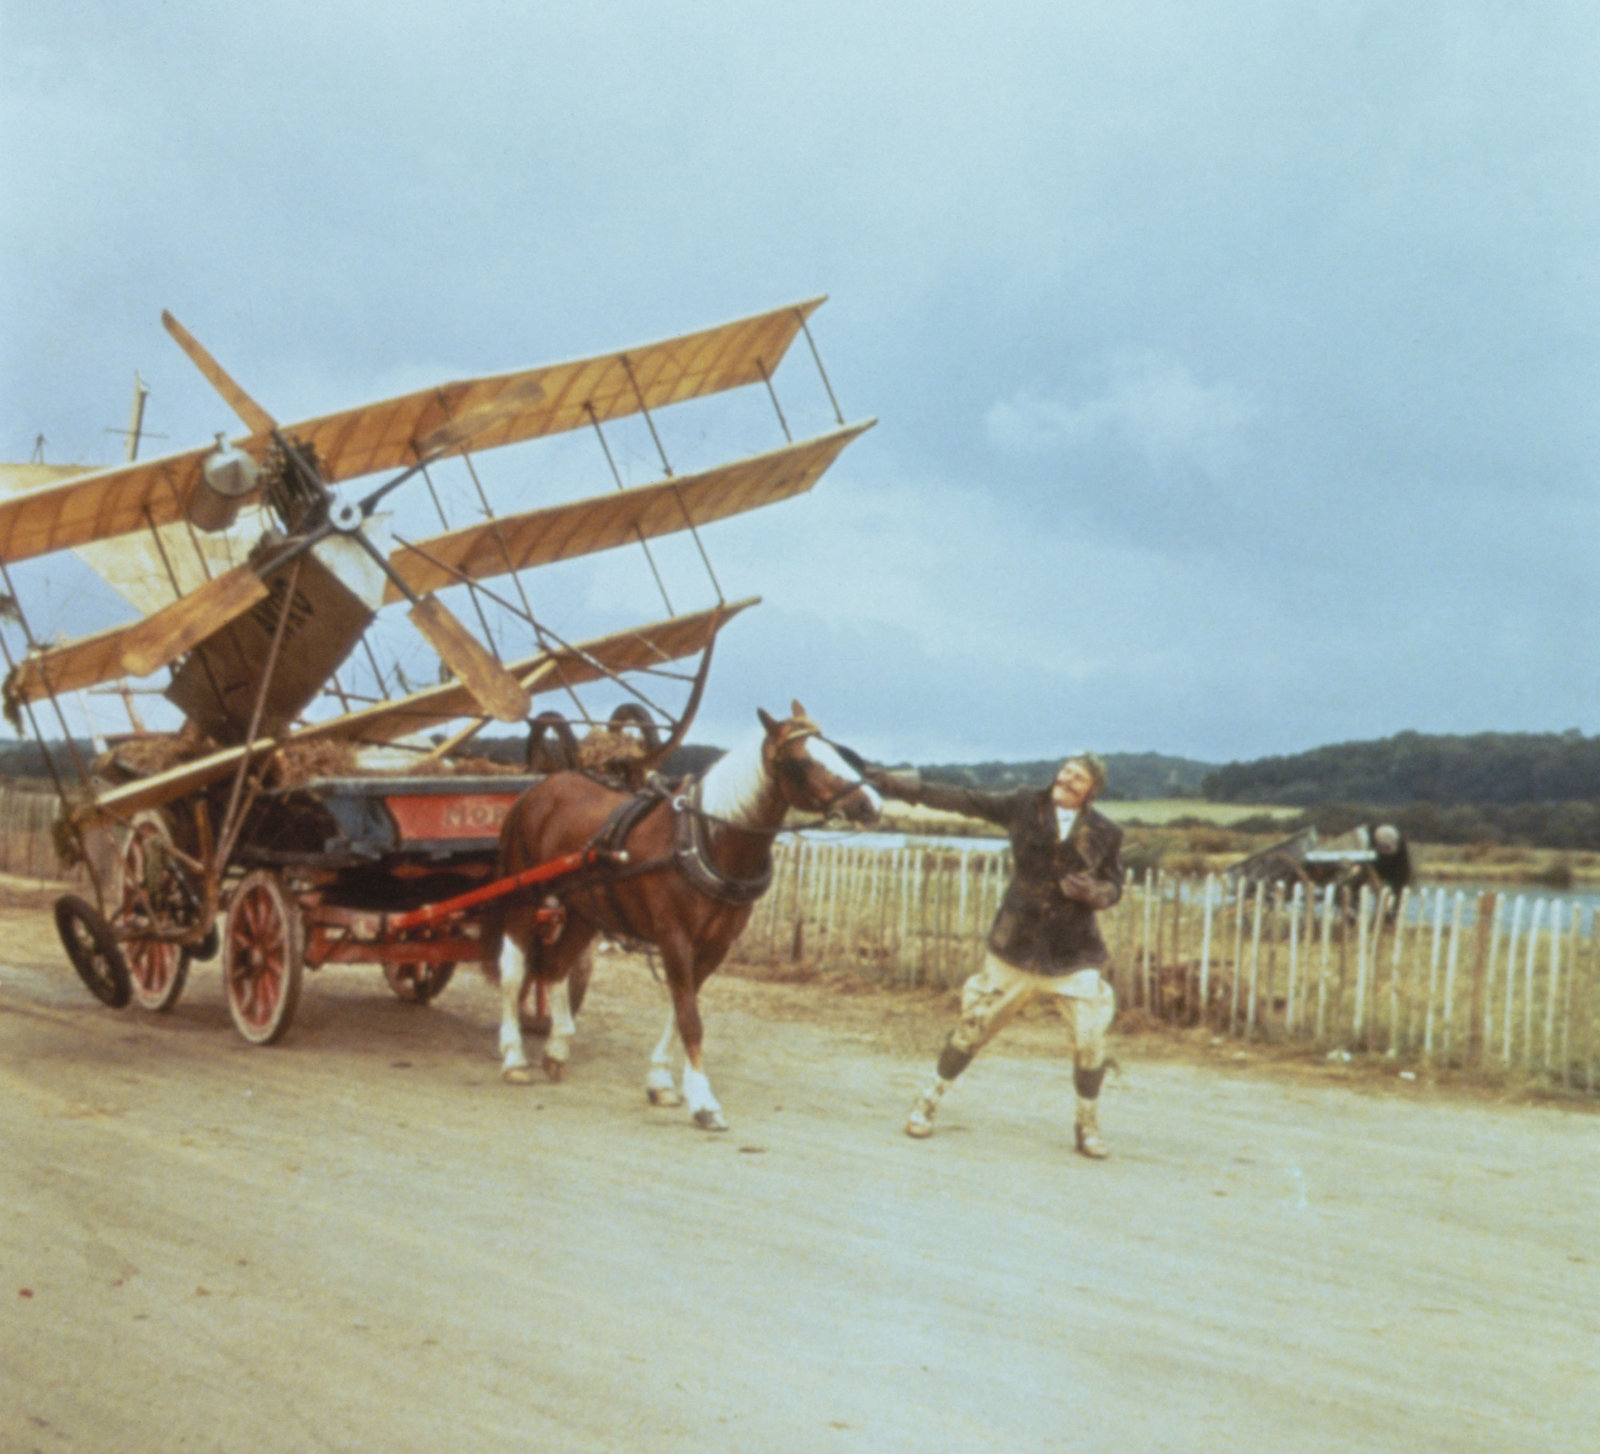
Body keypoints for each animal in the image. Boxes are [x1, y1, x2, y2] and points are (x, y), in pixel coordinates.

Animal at [492, 697, 883, 1126]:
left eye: (836, 749)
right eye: (802, 760)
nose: (871, 804)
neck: (705, 841)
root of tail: (538, 789)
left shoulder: (715, 946)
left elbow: (680, 1010)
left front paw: (661, 1082)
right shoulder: (673, 938)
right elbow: (690, 1019)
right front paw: (703, 1101)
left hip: (584, 912)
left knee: (556, 968)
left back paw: (556, 1049)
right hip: (522, 898)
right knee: (514, 971)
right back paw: (514, 1057)